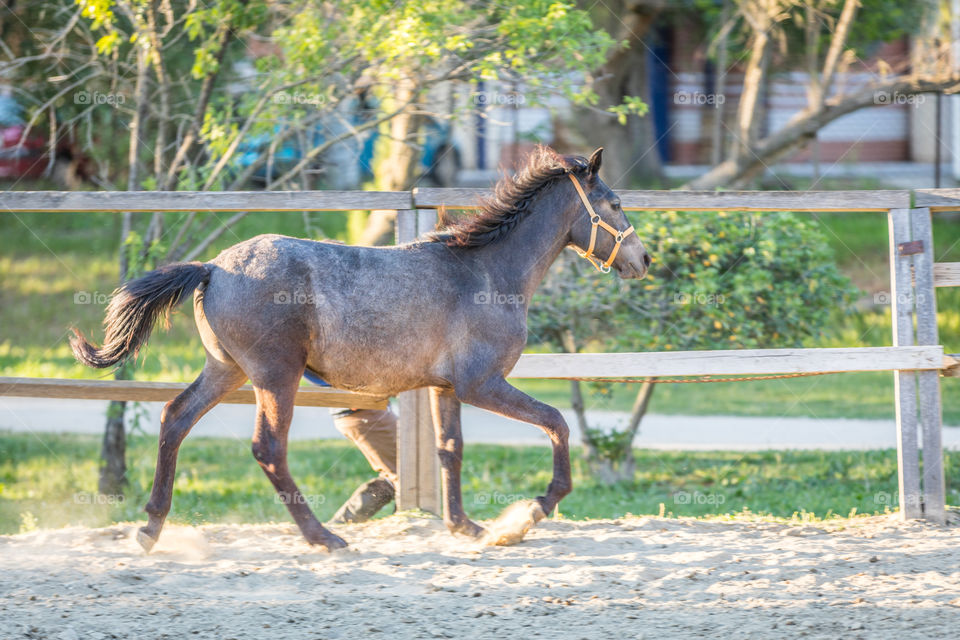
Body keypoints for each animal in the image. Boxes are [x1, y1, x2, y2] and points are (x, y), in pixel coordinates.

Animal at [71, 145, 648, 552]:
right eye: (615, 204)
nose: (642, 260)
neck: (485, 271)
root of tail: (212, 267)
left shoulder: (445, 387)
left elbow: (450, 449)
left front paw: (467, 527)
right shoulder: (482, 384)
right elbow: (557, 422)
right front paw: (529, 513)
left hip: (226, 370)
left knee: (174, 418)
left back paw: (149, 529)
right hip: (275, 376)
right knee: (267, 448)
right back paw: (324, 538)